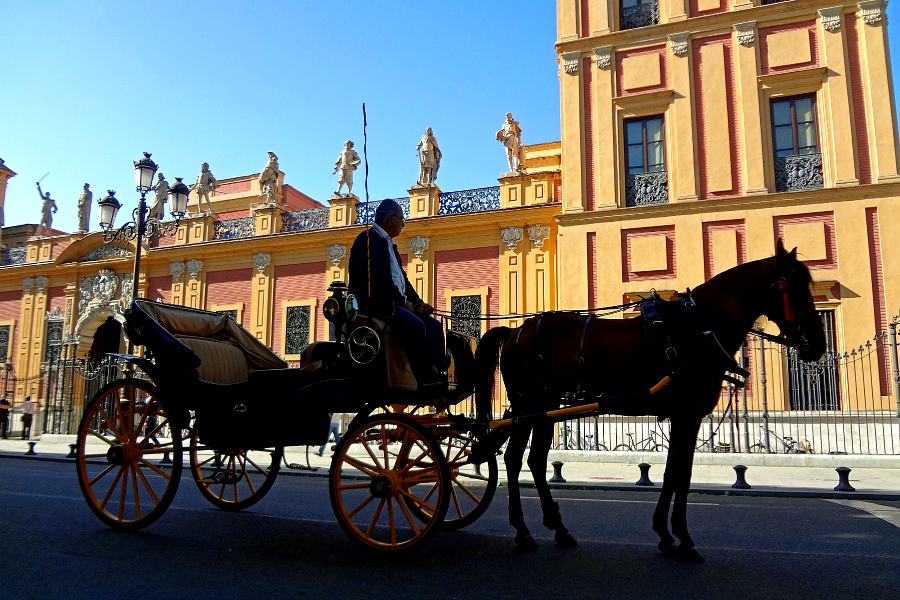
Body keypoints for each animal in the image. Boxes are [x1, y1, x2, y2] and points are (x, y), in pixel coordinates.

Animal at [474, 241, 828, 560]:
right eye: (794, 286)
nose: (818, 344)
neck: (699, 327)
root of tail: (515, 331)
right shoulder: (688, 415)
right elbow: (681, 475)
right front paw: (682, 537)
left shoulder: (684, 418)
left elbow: (674, 472)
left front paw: (666, 533)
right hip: (529, 405)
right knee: (514, 459)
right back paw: (523, 531)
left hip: (545, 408)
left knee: (534, 460)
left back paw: (558, 529)